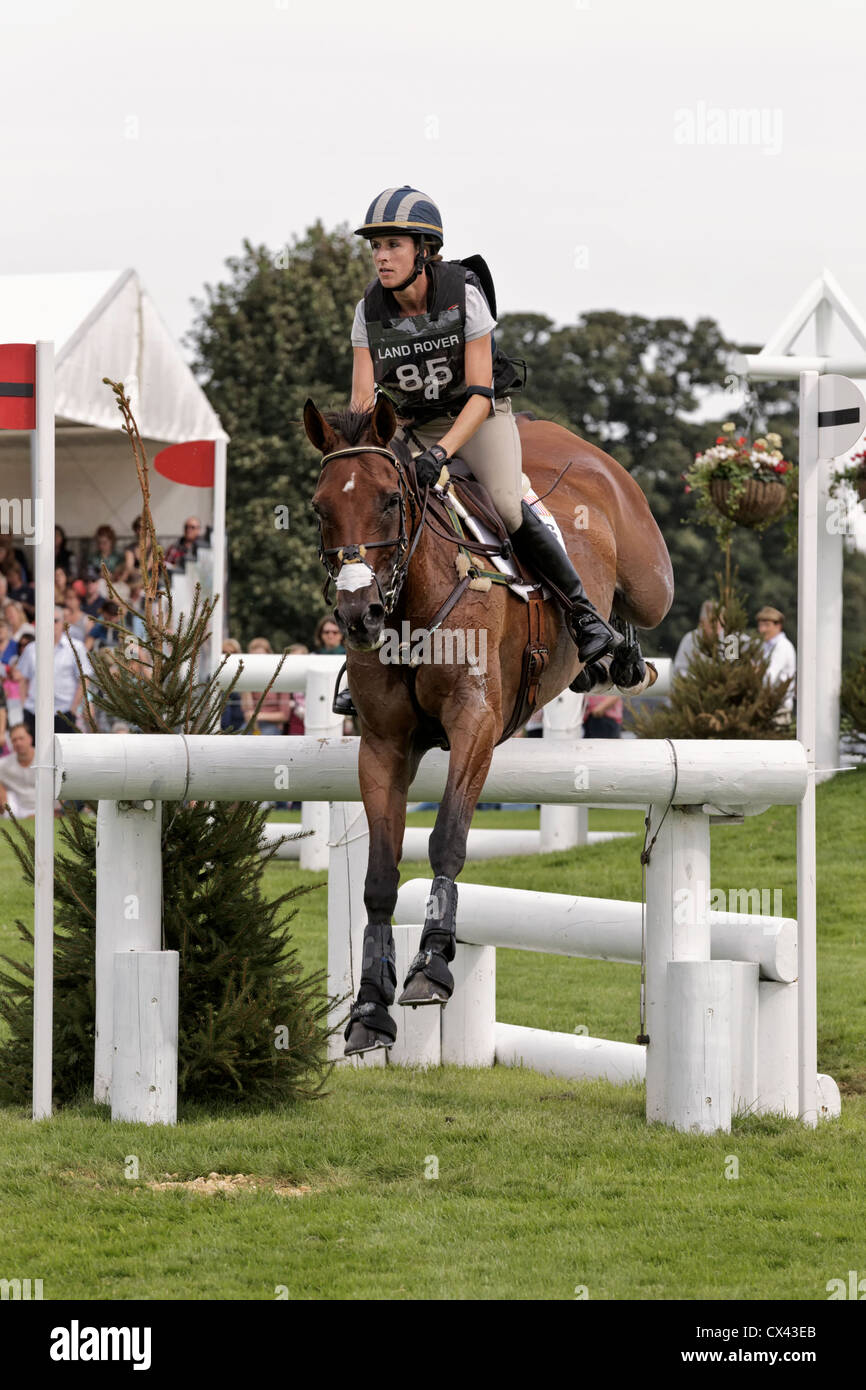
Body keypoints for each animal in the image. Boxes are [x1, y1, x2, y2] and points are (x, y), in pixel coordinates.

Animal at [304, 397, 678, 1056]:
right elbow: (379, 875)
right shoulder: (382, 746)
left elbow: (447, 838)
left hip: (649, 578)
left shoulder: (473, 725)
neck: (410, 603)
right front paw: (370, 1007)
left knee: (639, 605)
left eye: (390, 500)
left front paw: (431, 966)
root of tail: (552, 431)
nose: (358, 617)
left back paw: (615, 650)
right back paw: (601, 660)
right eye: (320, 509)